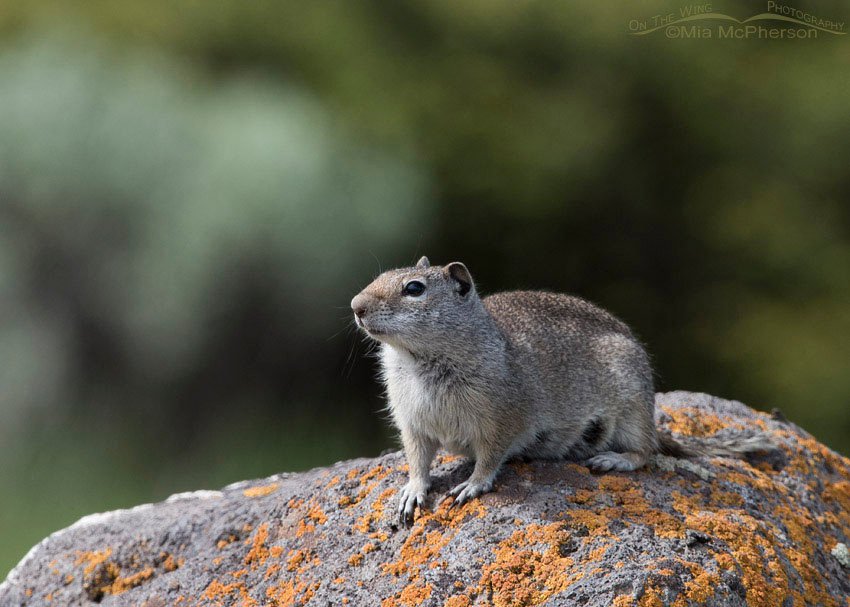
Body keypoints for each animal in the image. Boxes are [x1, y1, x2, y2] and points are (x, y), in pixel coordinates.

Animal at [351, 257, 774, 524]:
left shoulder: (503, 420)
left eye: (414, 288)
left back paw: (614, 460)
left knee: (646, 452)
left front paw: (473, 484)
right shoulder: (412, 422)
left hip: (634, 408)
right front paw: (412, 491)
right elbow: (418, 460)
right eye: (382, 274)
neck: (419, 361)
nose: (356, 305)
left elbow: (490, 457)